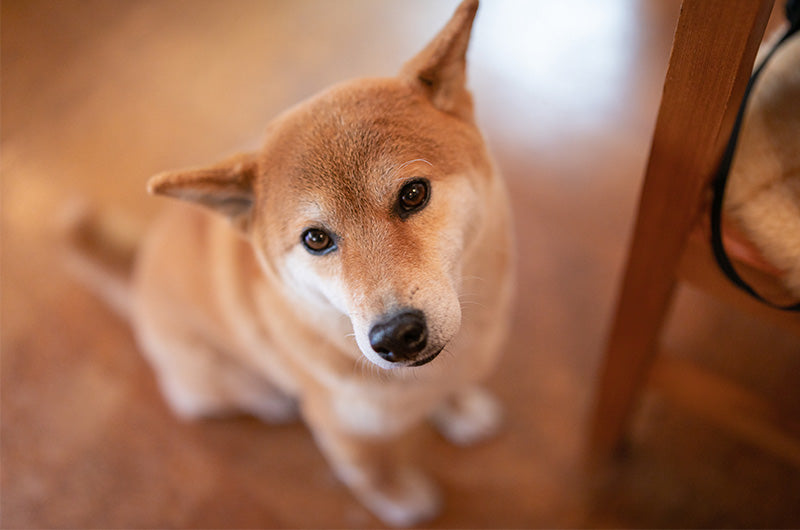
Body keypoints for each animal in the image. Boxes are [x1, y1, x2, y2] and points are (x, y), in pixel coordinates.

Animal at [62, 0, 512, 520]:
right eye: (315, 239)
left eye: (414, 194)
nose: (395, 336)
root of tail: (139, 276)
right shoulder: (346, 431)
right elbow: (375, 475)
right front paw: (403, 503)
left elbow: (452, 389)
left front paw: (460, 410)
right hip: (209, 378)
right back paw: (267, 401)